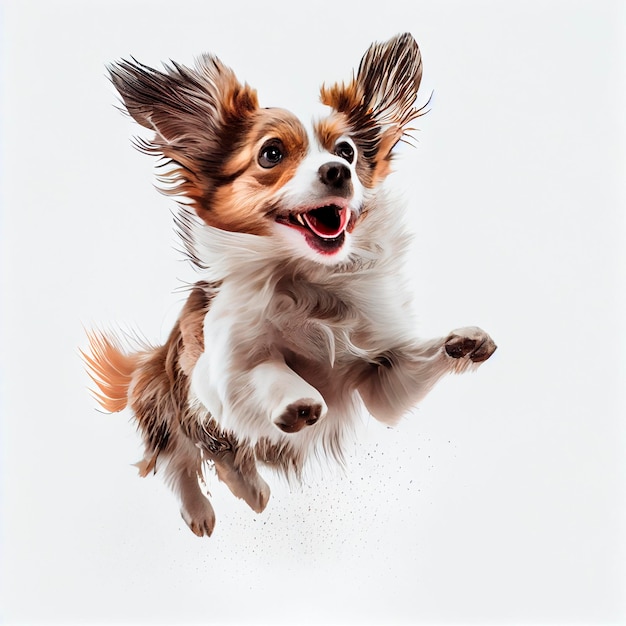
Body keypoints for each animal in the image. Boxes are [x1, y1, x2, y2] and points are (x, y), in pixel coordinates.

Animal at [84, 31, 492, 532]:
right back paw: (199, 511)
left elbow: (410, 365)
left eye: (347, 152)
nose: (338, 171)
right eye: (271, 153)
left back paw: (253, 490)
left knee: (227, 461)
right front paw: (299, 399)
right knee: (180, 458)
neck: (312, 283)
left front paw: (463, 342)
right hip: (167, 402)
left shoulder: (381, 382)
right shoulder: (217, 373)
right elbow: (267, 370)